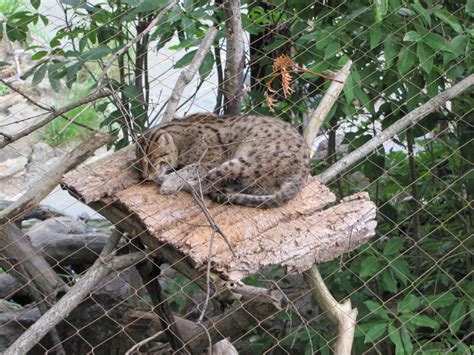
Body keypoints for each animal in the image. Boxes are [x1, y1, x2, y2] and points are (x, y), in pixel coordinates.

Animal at [135, 113, 310, 209]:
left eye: (150, 161)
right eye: (139, 164)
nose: (145, 177)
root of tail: (303, 173)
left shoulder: (213, 160)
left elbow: (189, 168)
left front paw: (169, 180)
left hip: (238, 163)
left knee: (201, 186)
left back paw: (166, 181)